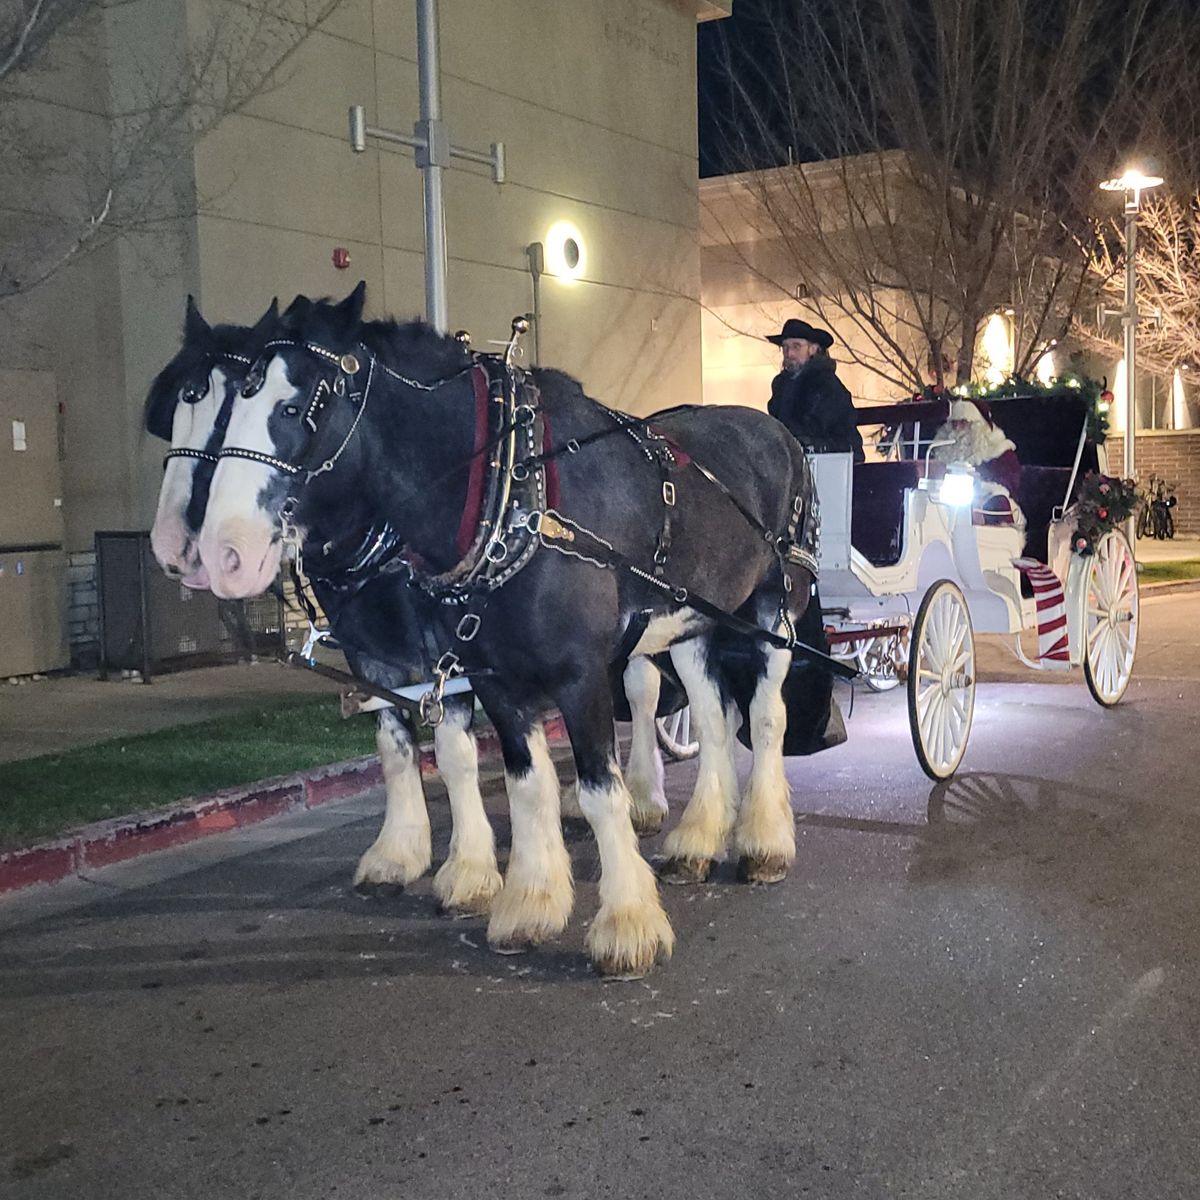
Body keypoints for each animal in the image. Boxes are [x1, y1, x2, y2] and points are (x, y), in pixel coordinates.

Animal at [196, 285, 835, 979]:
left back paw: (764, 844)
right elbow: (526, 783)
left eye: (293, 408)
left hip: (775, 606)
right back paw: (696, 841)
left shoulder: (580, 675)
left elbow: (598, 791)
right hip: (692, 620)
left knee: (765, 715)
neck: (512, 493)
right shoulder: (491, 676)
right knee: (715, 716)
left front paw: (628, 925)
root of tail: (777, 433)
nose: (222, 553)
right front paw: (529, 903)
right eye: (227, 409)